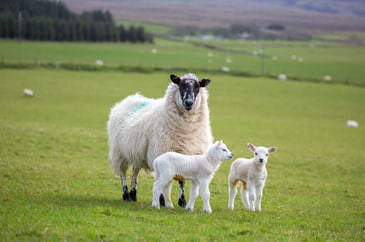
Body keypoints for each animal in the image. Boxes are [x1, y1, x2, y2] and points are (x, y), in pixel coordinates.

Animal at [106, 73, 212, 205]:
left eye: (197, 87)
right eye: (181, 86)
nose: (189, 102)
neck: (186, 131)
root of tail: (130, 99)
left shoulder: (185, 155)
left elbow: (182, 180)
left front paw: (182, 201)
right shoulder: (161, 153)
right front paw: (162, 200)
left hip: (138, 153)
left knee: (135, 171)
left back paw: (133, 194)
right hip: (119, 152)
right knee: (122, 173)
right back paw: (126, 194)